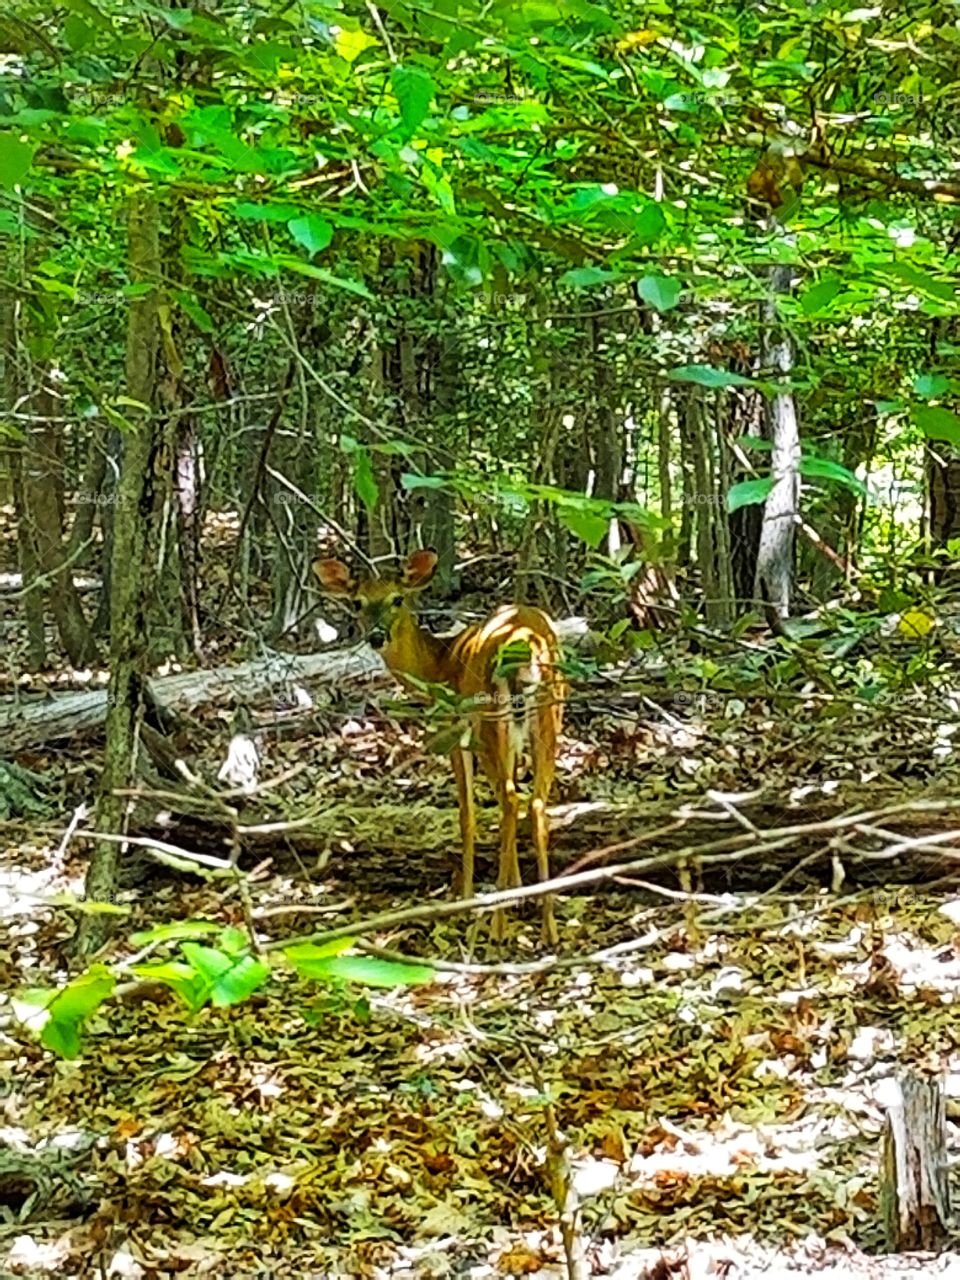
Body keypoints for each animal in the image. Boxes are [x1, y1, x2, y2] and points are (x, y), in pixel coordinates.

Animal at [313, 549, 565, 944]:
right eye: (357, 603)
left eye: (397, 599)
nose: (376, 637)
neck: (437, 664)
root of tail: (526, 644)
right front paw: (518, 891)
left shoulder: (454, 730)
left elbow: (467, 814)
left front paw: (467, 897)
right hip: (550, 711)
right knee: (536, 801)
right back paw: (548, 924)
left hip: (489, 717)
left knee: (511, 800)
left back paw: (497, 925)